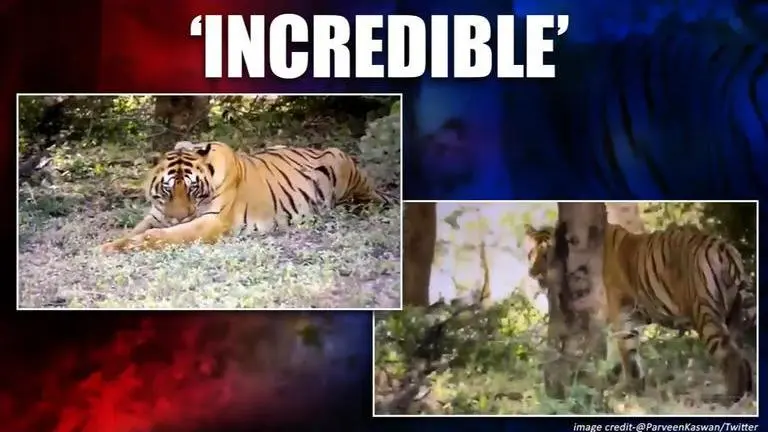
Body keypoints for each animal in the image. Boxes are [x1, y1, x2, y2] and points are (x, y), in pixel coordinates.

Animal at [100, 141, 397, 253]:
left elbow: (159, 235)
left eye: (193, 189)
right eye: (167, 190)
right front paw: (109, 245)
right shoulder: (157, 214)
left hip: (342, 165)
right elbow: (136, 230)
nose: (179, 217)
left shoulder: (211, 221)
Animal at [523, 223, 756, 401]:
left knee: (730, 354)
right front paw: (618, 386)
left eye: (546, 254)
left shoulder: (620, 314)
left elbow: (627, 354)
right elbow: (620, 352)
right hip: (738, 312)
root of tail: (725, 249)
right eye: (531, 254)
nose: (532, 273)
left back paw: (729, 398)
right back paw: (748, 391)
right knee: (743, 351)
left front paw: (630, 392)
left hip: (705, 312)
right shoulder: (622, 318)